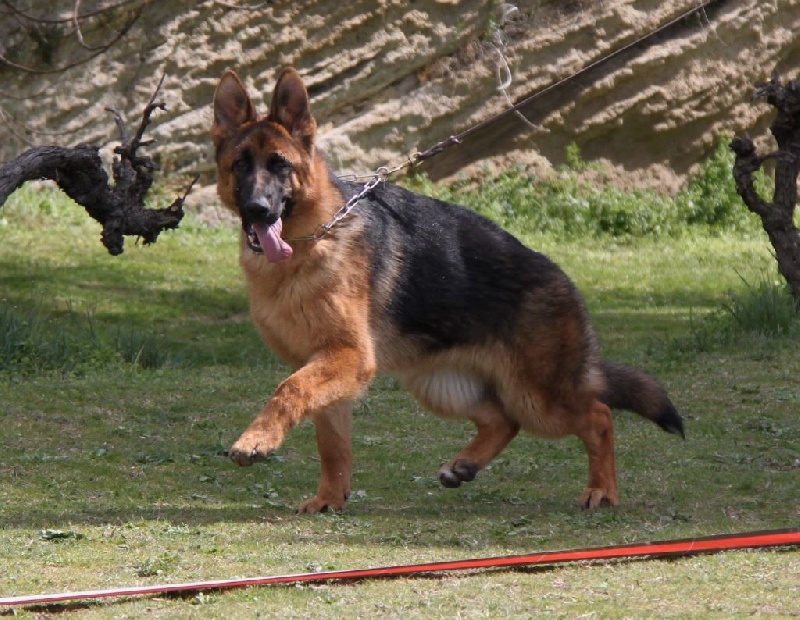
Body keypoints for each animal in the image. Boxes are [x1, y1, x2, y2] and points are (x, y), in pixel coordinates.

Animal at [209, 68, 684, 512]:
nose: (258, 210)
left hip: (537, 397)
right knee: (502, 419)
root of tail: (562, 279)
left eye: (280, 165)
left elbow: (287, 391)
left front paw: (255, 440)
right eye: (241, 165)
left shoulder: (347, 358)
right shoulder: (328, 368)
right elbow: (332, 445)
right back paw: (465, 464)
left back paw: (602, 490)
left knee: (597, 415)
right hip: (437, 384)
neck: (313, 238)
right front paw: (330, 498)